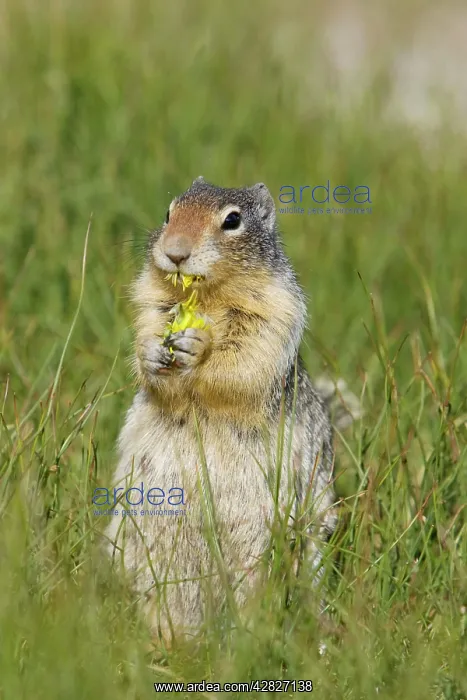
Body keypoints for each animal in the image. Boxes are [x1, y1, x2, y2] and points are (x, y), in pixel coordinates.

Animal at [106, 178, 341, 642]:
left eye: (232, 220)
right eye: (168, 212)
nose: (175, 251)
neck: (205, 295)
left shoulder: (274, 311)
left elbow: (244, 361)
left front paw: (200, 345)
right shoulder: (151, 301)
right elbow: (150, 336)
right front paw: (152, 353)